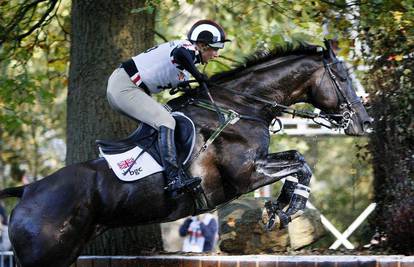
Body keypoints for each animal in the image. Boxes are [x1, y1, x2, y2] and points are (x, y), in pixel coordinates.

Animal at [0, 40, 370, 266]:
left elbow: (297, 160)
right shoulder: (246, 174)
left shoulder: (256, 167)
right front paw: (288, 208)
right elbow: (300, 164)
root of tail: (27, 191)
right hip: (44, 253)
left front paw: (280, 208)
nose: (365, 122)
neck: (241, 107)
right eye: (342, 78)